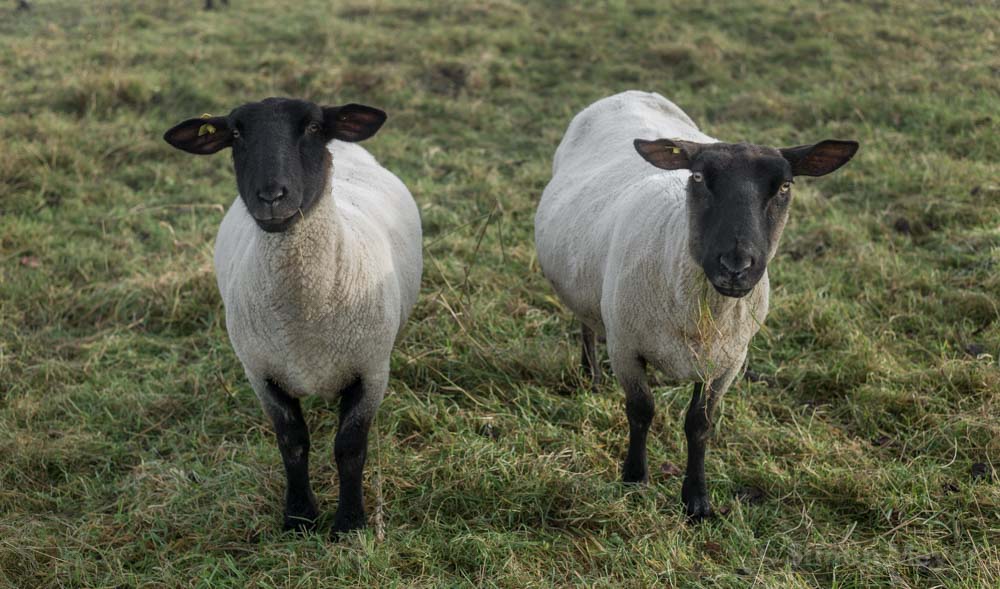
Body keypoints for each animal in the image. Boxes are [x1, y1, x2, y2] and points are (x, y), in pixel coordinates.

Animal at [164, 97, 422, 536]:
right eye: (236, 134)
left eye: (314, 127)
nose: (271, 196)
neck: (303, 319)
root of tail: (347, 147)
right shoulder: (262, 374)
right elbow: (293, 443)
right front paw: (299, 517)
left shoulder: (371, 371)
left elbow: (350, 447)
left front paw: (349, 523)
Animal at [536, 89, 856, 516]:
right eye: (699, 177)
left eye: (785, 186)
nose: (736, 266)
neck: (700, 312)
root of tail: (628, 93)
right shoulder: (625, 347)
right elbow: (641, 411)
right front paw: (635, 479)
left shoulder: (727, 362)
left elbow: (700, 424)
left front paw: (697, 501)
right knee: (586, 322)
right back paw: (591, 375)